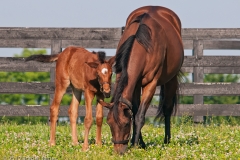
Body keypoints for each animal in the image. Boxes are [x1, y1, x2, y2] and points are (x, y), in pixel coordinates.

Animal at [105, 5, 184, 154]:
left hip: (171, 79)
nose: (119, 151)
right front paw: (139, 143)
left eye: (126, 124)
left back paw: (167, 140)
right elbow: (135, 111)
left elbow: (140, 116)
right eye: (109, 123)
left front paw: (136, 145)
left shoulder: (150, 84)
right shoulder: (135, 84)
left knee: (167, 109)